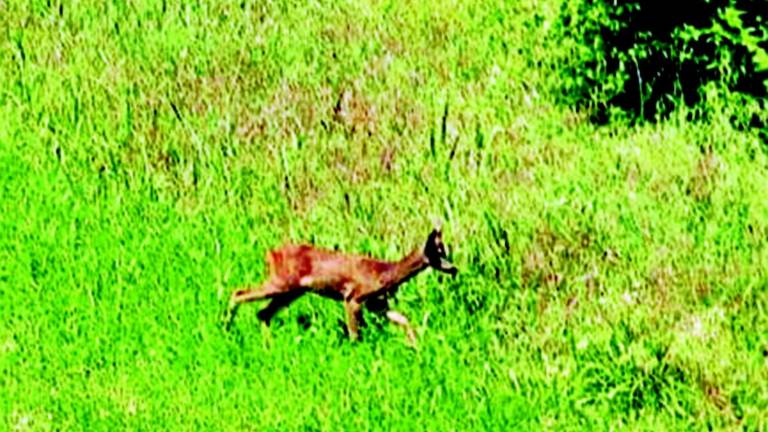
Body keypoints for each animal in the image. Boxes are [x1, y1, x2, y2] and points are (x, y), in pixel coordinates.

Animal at [225, 224, 460, 342]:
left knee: (263, 313)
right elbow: (355, 334)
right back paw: (226, 326)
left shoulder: (376, 303)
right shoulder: (354, 297)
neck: (385, 273)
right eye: (438, 252)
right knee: (238, 293)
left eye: (445, 249)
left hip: (291, 291)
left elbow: (403, 319)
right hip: (281, 282)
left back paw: (266, 344)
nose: (454, 268)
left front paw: (416, 345)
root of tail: (270, 254)